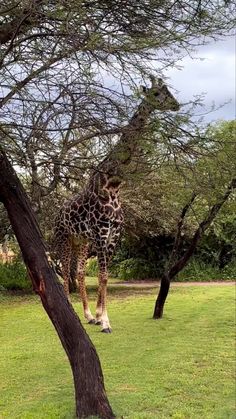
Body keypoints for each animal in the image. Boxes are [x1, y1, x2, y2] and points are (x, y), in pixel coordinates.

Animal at [53, 77, 179, 334]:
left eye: (168, 91)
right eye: (157, 93)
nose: (176, 105)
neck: (113, 185)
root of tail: (56, 214)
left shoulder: (114, 234)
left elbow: (105, 275)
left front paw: (100, 316)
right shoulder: (102, 233)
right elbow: (102, 276)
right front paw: (105, 322)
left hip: (81, 240)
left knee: (79, 273)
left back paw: (88, 315)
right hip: (64, 238)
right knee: (65, 274)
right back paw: (74, 313)